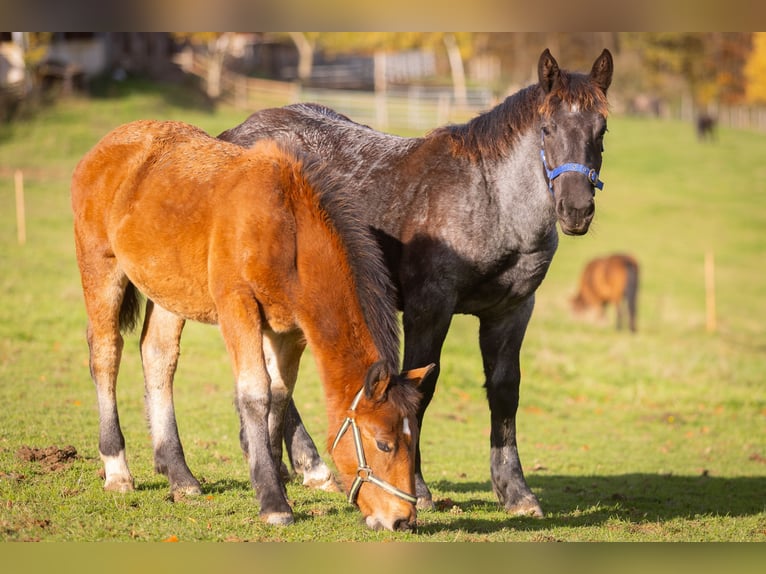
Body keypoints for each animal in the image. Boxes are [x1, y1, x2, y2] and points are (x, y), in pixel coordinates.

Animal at [71, 119, 434, 531]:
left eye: (413, 440)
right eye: (383, 443)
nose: (403, 520)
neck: (288, 231)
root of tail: (106, 145)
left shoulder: (290, 330)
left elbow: (279, 393)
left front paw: (277, 478)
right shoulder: (237, 305)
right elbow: (256, 393)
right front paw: (274, 501)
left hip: (168, 291)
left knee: (158, 357)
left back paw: (180, 476)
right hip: (101, 267)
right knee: (106, 354)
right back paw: (117, 469)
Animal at [218, 48, 613, 518]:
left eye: (602, 129)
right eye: (547, 128)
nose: (576, 209)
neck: (488, 202)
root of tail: (233, 136)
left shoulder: (511, 312)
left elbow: (505, 392)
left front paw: (516, 493)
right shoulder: (430, 309)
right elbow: (420, 392)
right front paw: (420, 490)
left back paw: (300, 465)